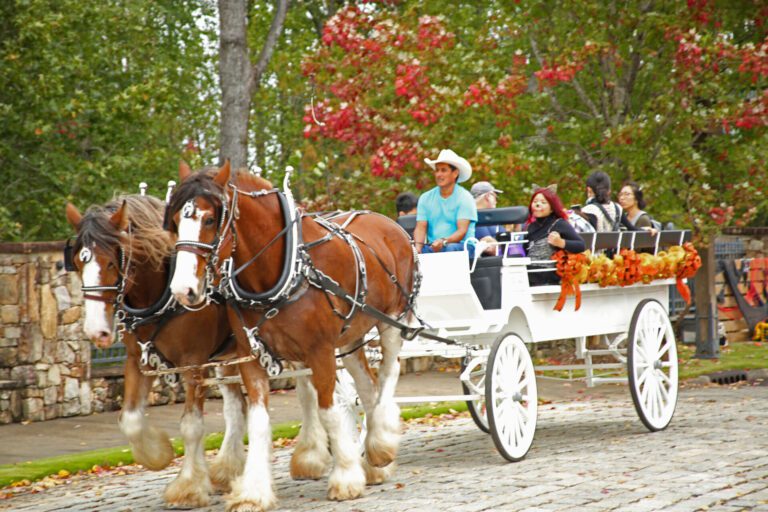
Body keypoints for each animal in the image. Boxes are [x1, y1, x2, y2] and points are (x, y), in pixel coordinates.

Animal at [65, 194, 248, 508]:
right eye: (77, 263)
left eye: (111, 262)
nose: (97, 332)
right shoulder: (137, 359)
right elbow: (130, 420)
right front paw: (159, 455)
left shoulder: (193, 363)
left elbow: (192, 425)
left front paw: (188, 486)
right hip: (229, 355)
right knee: (237, 408)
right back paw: (226, 471)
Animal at [165, 161, 419, 510]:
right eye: (177, 220)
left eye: (209, 219)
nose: (182, 290)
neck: (279, 272)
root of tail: (389, 223)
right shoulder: (251, 356)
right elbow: (259, 423)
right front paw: (253, 491)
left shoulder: (320, 351)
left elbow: (329, 412)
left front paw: (345, 478)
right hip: (351, 335)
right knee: (368, 385)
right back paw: (374, 458)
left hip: (393, 320)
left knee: (389, 371)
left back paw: (381, 442)